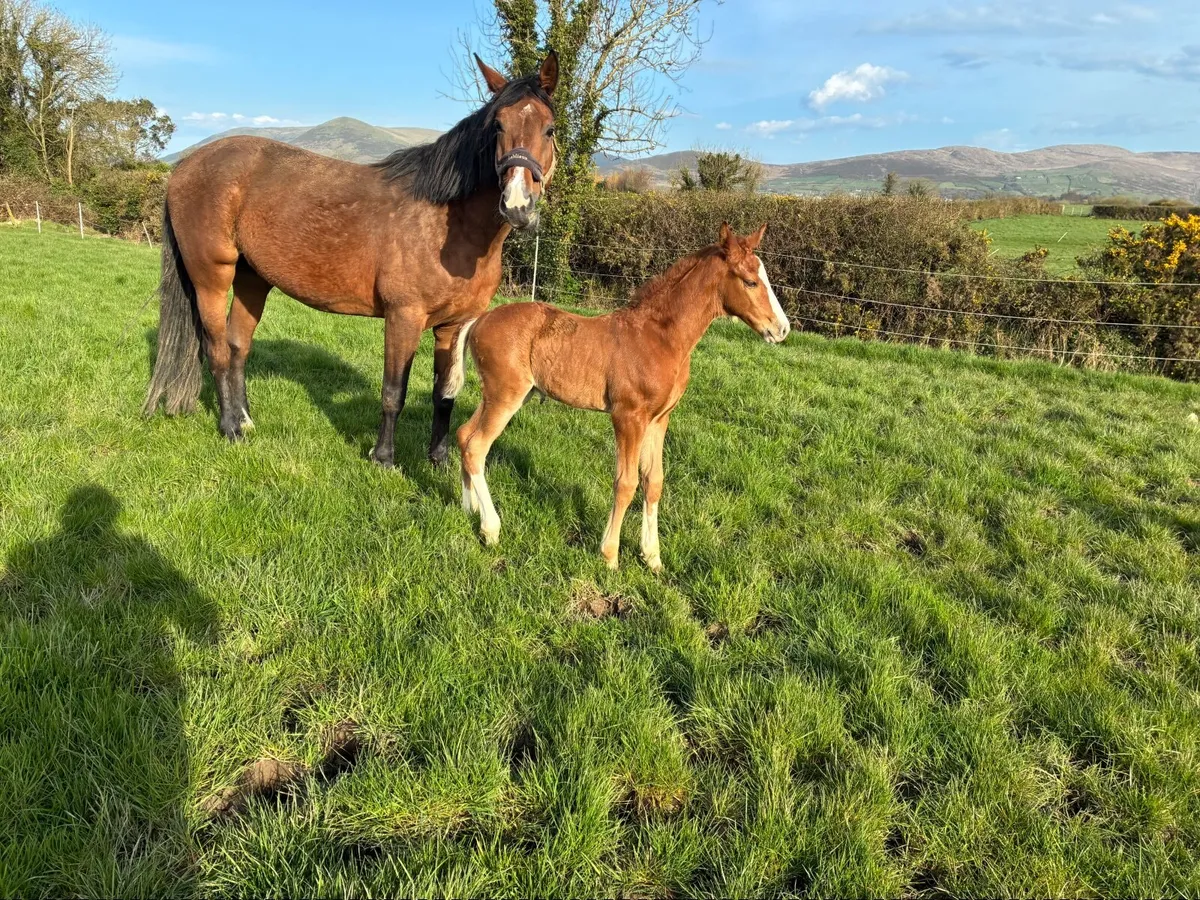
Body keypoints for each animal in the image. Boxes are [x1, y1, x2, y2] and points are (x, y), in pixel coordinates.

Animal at [144, 52, 559, 470]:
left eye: (550, 129)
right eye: (497, 126)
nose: (517, 205)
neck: (449, 223)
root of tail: (185, 166)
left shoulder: (453, 326)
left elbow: (445, 395)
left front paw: (439, 460)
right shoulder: (403, 317)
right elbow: (394, 391)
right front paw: (384, 459)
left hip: (252, 280)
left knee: (237, 346)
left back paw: (246, 420)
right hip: (211, 277)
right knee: (214, 349)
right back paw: (230, 428)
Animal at [451, 223, 790, 571]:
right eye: (750, 281)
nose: (782, 329)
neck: (661, 337)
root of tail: (480, 319)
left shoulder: (659, 419)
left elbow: (654, 482)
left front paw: (652, 557)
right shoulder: (628, 417)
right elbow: (626, 483)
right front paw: (610, 555)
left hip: (500, 395)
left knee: (464, 435)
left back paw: (469, 509)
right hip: (505, 396)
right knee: (477, 446)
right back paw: (491, 529)